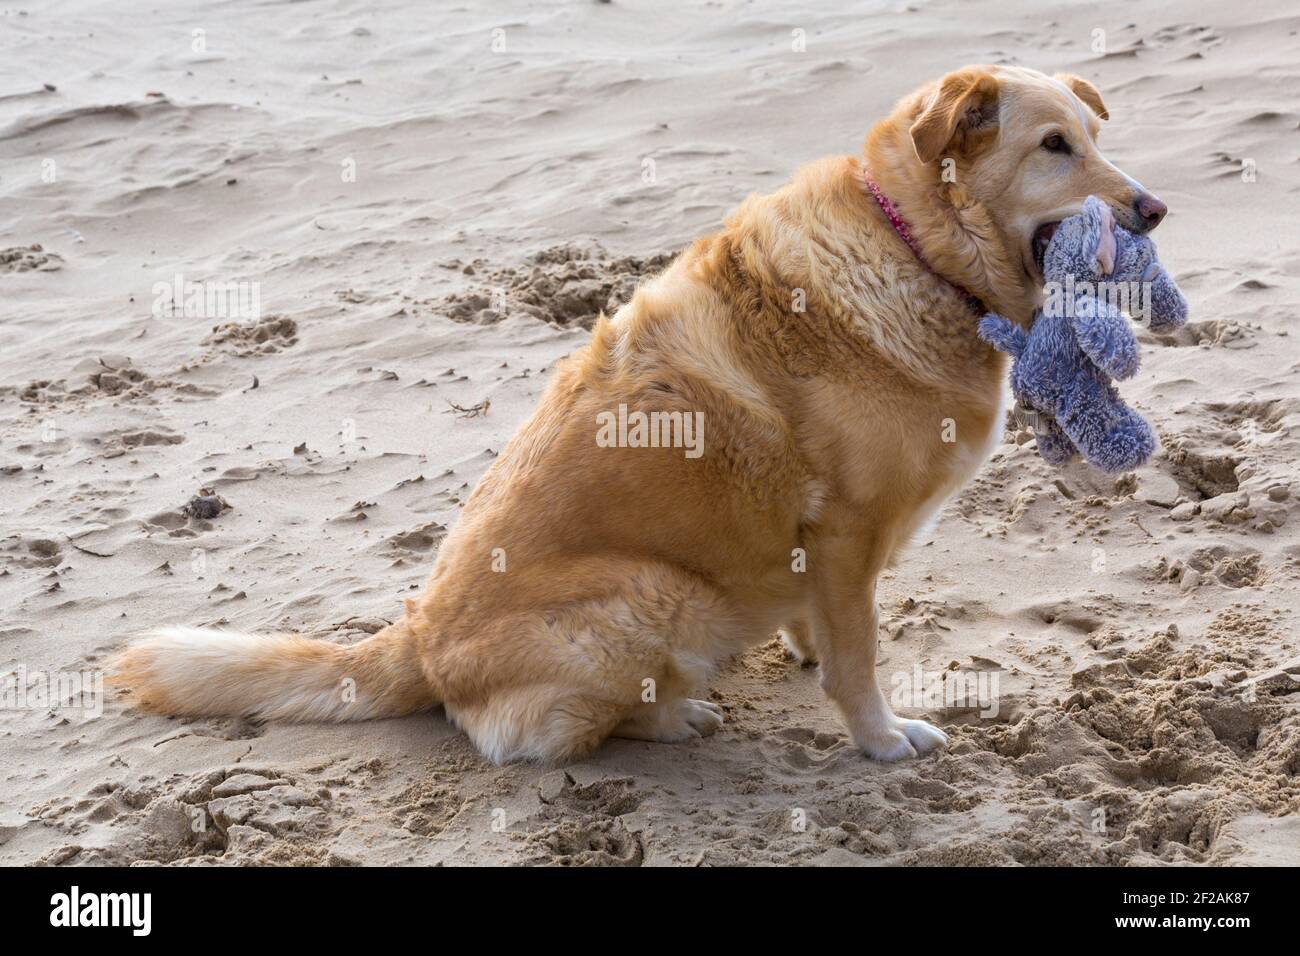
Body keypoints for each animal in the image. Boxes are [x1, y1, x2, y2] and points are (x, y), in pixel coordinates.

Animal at [111, 65, 1170, 764]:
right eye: (1054, 147)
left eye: (1096, 137)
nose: (1154, 208)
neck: (913, 246)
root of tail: (413, 641)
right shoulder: (846, 529)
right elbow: (860, 656)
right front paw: (879, 737)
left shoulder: (825, 550)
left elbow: (828, 629)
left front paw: (806, 653)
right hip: (660, 592)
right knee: (559, 737)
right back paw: (674, 716)